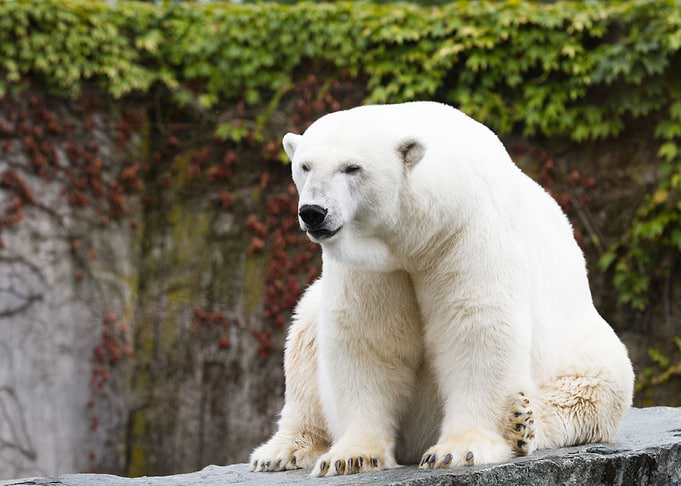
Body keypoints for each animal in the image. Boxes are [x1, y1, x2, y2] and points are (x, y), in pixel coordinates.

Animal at [249, 101, 634, 477]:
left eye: (352, 168)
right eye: (304, 166)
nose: (314, 211)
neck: (420, 231)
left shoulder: (466, 230)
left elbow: (475, 325)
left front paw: (459, 450)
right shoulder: (374, 267)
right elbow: (368, 337)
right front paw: (351, 457)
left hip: (584, 351)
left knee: (590, 391)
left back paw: (521, 423)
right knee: (304, 334)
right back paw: (280, 451)